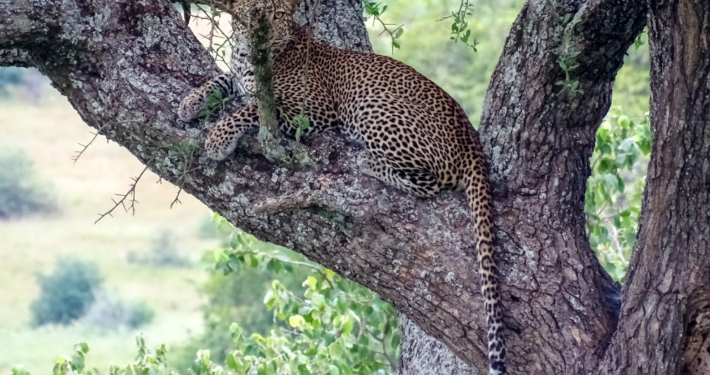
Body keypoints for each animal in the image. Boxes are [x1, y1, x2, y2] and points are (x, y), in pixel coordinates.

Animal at [181, 0, 508, 374]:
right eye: (249, 16)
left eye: (276, 16)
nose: (261, 39)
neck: (250, 60)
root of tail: (470, 137)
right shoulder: (239, 76)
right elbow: (222, 79)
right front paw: (191, 102)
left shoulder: (312, 108)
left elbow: (252, 110)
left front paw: (218, 138)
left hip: (373, 106)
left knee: (431, 181)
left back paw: (368, 161)